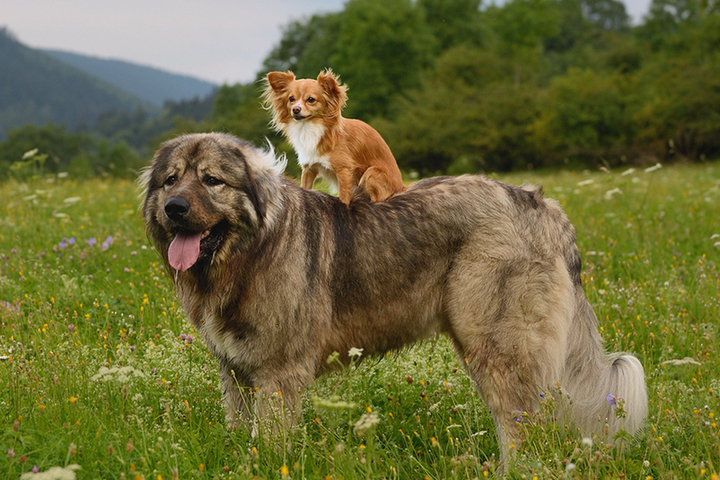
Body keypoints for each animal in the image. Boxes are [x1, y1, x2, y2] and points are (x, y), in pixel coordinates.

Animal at [141, 133, 648, 464]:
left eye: (212, 180)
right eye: (170, 180)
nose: (174, 208)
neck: (249, 251)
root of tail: (541, 205)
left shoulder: (278, 375)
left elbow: (267, 442)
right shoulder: (236, 372)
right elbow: (238, 429)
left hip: (499, 350)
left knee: (521, 433)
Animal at [264, 69, 408, 202]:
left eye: (311, 100)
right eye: (291, 99)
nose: (296, 109)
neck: (310, 128)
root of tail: (401, 187)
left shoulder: (344, 170)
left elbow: (344, 198)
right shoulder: (308, 169)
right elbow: (305, 188)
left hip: (371, 173)